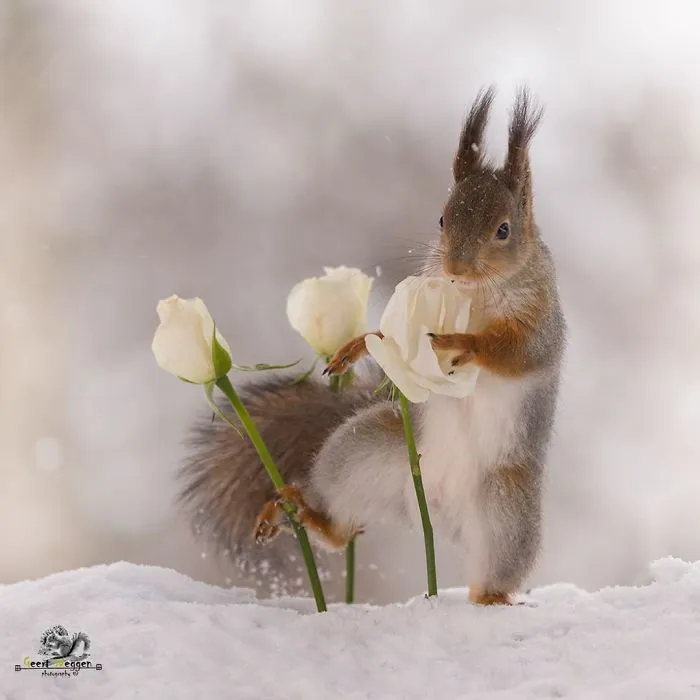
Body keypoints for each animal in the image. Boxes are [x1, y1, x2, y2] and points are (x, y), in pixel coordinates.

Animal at [180, 86, 566, 605]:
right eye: (441, 219)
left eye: (504, 230)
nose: (456, 269)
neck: (475, 295)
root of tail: (437, 513)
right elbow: (387, 339)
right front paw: (359, 345)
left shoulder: (543, 322)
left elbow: (520, 352)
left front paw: (460, 342)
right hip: (360, 455)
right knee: (343, 527)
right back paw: (311, 517)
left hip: (506, 510)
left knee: (495, 573)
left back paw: (491, 597)